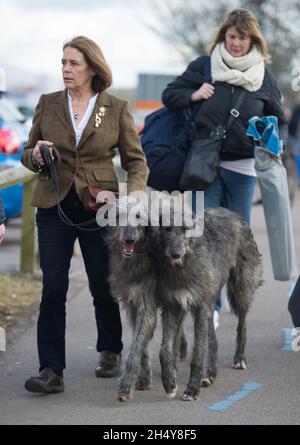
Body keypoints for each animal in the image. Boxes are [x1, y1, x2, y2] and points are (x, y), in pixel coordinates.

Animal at [158, 206, 264, 400]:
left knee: (242, 322)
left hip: (241, 287)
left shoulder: (200, 305)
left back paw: (239, 358)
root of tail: (232, 213)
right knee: (211, 333)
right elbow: (165, 350)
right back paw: (210, 373)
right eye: (167, 228)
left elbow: (198, 353)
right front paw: (169, 383)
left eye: (185, 229)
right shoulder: (173, 306)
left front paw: (192, 389)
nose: (175, 254)